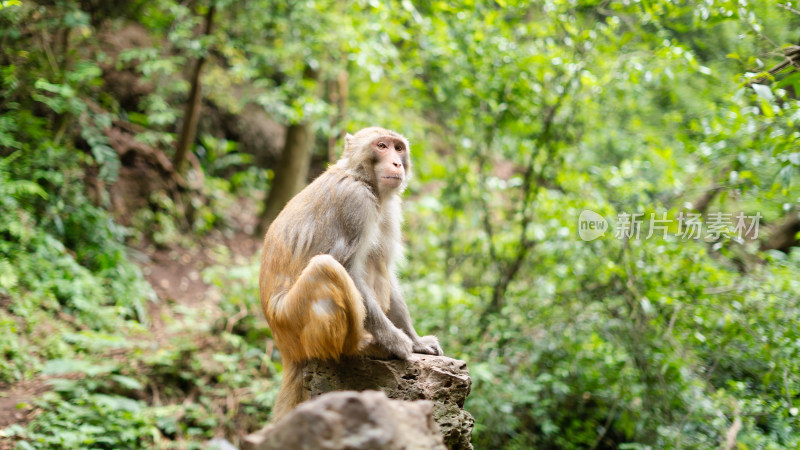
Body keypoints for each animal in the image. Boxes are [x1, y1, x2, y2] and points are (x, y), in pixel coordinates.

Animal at [260, 125, 444, 418]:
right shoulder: (355, 203)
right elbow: (347, 267)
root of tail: (285, 350)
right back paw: (361, 347)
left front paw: (416, 341)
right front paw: (395, 341)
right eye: (381, 146)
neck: (362, 179)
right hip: (292, 322)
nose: (396, 162)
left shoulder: (387, 209)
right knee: (326, 268)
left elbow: (386, 268)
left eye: (398, 148)